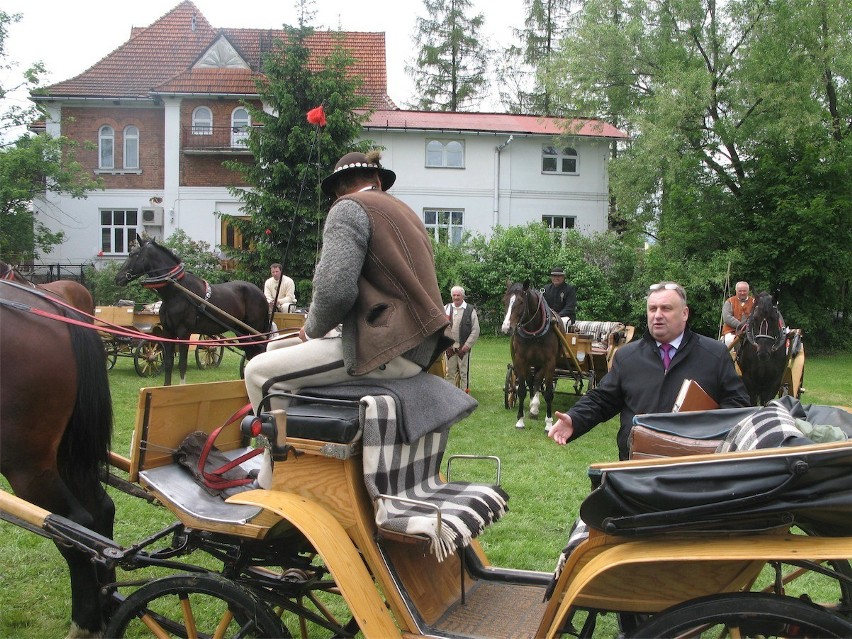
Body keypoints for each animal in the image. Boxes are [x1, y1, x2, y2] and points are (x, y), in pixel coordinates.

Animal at [0, 278, 114, 636]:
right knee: (101, 513)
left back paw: (85, 623)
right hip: (67, 457)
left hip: (28, 466)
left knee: (72, 526)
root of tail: (58, 309)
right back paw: (107, 604)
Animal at [113, 236, 266, 382]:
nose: (117, 278)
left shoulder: (184, 333)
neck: (177, 292)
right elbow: (168, 364)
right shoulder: (168, 333)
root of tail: (260, 292)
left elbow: (182, 365)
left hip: (255, 331)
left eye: (133, 254)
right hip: (242, 332)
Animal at [502, 282, 564, 432]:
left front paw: (549, 423)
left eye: (521, 302)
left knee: (537, 380)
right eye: (504, 301)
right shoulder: (520, 360)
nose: (506, 328)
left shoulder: (550, 363)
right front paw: (520, 420)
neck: (534, 332)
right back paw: (533, 407)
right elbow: (522, 390)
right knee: (532, 381)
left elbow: (548, 393)